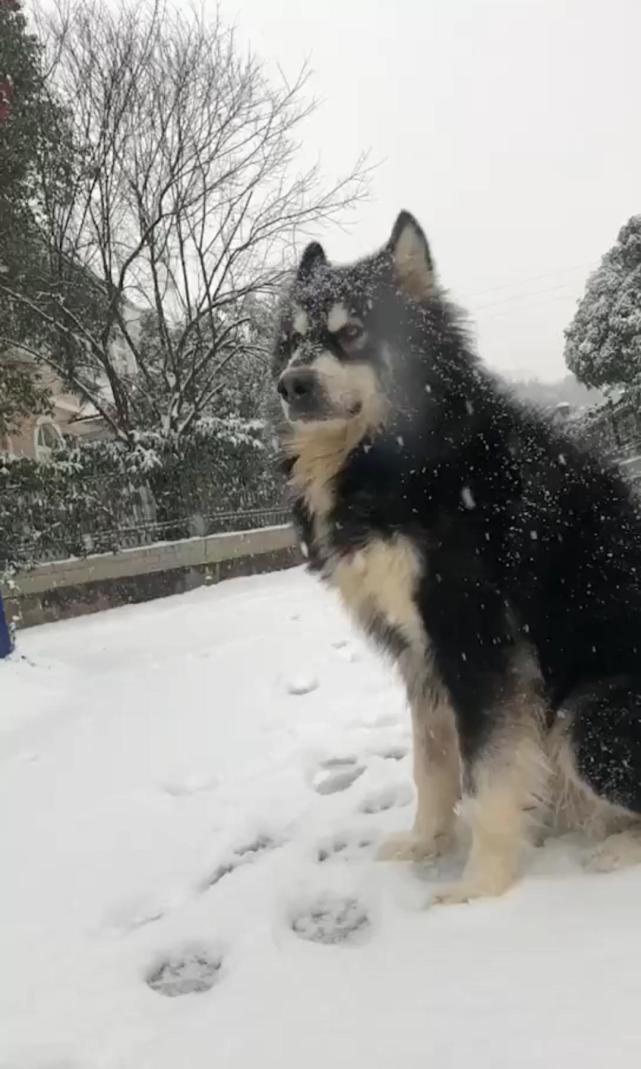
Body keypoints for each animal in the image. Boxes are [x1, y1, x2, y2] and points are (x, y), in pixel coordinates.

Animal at [271, 210, 641, 902]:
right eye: (293, 340)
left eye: (353, 332)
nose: (291, 386)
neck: (407, 456)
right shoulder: (420, 653)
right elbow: (433, 763)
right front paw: (426, 843)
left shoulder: (479, 645)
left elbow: (487, 775)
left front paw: (480, 888)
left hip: (589, 718)